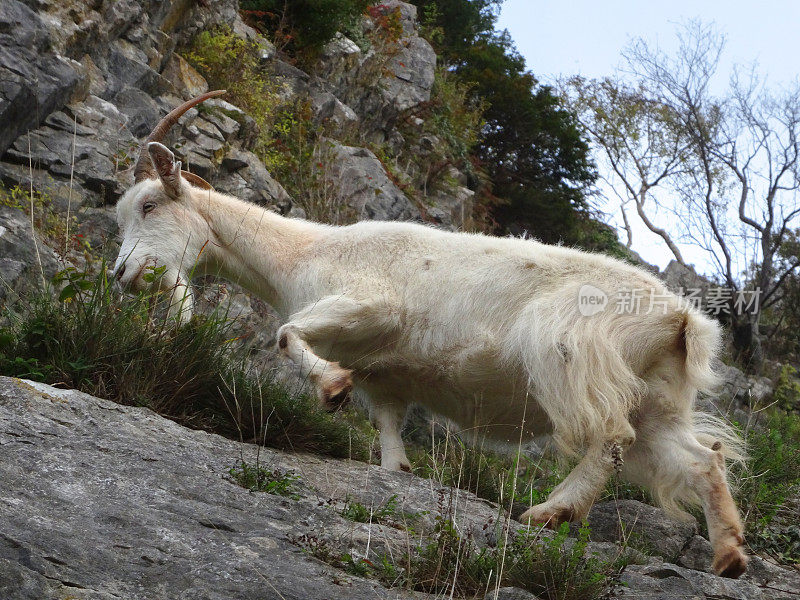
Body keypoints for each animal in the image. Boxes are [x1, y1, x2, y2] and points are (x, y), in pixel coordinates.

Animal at [114, 92, 752, 576]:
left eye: (148, 205)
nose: (123, 275)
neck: (302, 253)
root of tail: (684, 320)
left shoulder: (370, 306)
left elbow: (288, 335)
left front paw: (331, 389)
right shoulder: (387, 378)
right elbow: (390, 445)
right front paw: (394, 466)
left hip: (573, 355)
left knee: (611, 436)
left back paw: (552, 512)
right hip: (656, 396)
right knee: (701, 459)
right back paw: (728, 557)